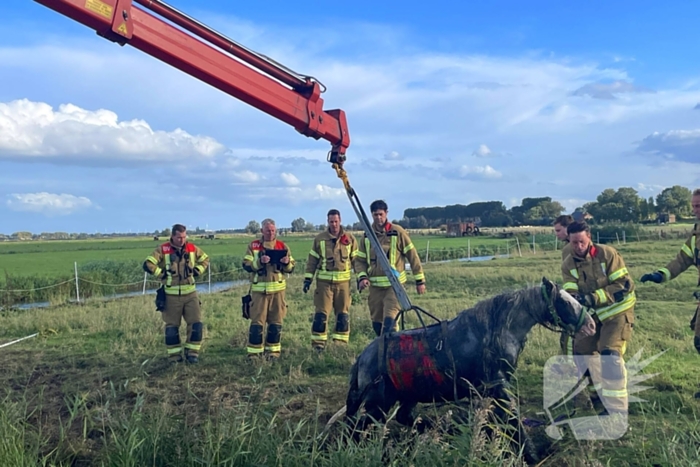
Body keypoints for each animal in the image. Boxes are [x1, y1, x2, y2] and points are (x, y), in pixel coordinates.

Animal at [326, 277, 594, 463]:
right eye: (564, 301)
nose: (591, 325)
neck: (492, 333)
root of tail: (363, 357)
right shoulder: (498, 387)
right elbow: (514, 421)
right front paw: (531, 455)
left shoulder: (488, 392)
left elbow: (498, 422)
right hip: (378, 403)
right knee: (359, 427)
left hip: (405, 397)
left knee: (400, 418)